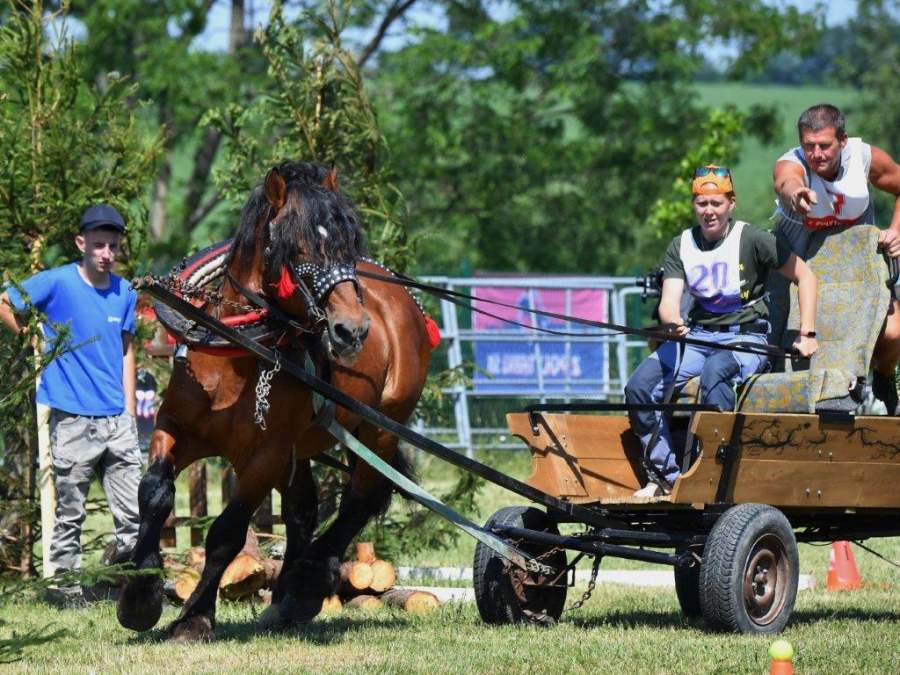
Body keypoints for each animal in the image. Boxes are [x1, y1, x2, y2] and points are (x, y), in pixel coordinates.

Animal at [118, 161, 434, 640]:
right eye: (295, 247)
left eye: (348, 243)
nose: (353, 330)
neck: (236, 353)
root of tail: (401, 298)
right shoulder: (175, 426)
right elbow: (154, 492)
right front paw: (140, 596)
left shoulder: (265, 456)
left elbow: (226, 533)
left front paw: (194, 617)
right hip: (301, 447)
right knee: (304, 508)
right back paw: (284, 600)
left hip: (378, 428)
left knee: (360, 499)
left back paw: (306, 584)